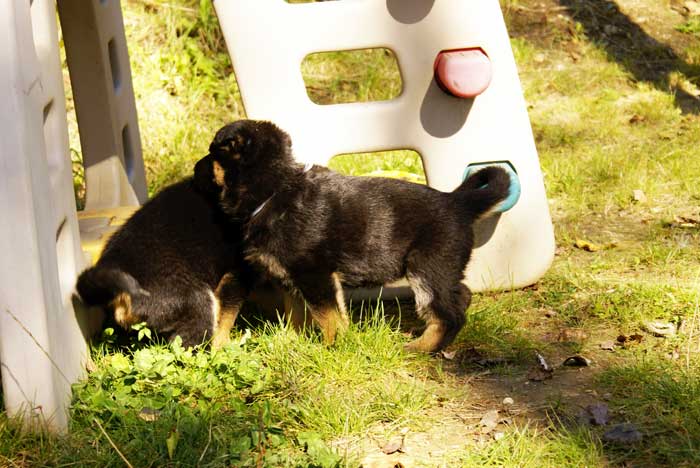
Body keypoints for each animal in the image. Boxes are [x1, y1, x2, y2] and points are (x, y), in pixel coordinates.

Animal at [194, 120, 512, 352]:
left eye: (211, 154)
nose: (194, 168)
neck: (273, 191)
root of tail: (457, 202)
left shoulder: (315, 275)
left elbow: (330, 316)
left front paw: (333, 348)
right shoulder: (289, 276)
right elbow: (296, 313)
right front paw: (293, 341)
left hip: (427, 268)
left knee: (448, 314)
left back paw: (419, 348)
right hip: (441, 270)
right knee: (461, 297)